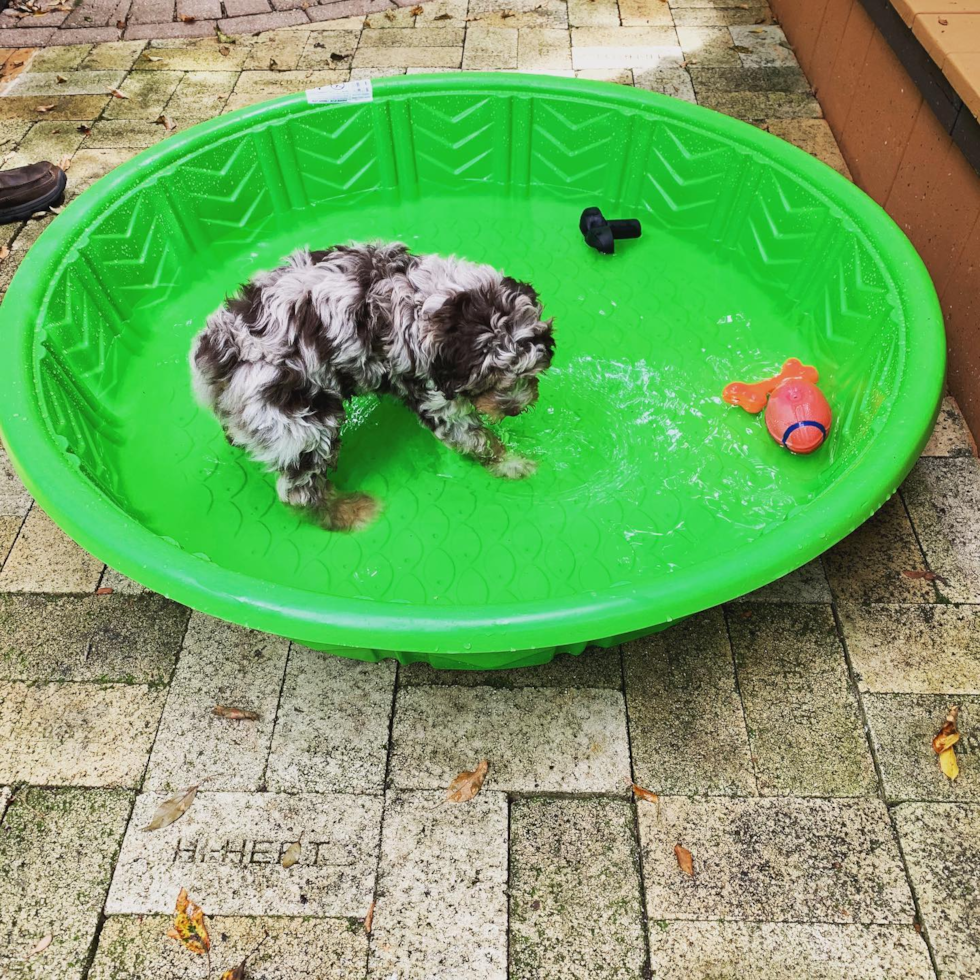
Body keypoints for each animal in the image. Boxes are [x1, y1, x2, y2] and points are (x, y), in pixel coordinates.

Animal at [190, 249, 556, 532]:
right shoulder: (434, 393)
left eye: (532, 373)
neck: (430, 302)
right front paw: (512, 464)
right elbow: (475, 438)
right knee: (298, 489)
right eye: (490, 382)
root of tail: (219, 354)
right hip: (299, 421)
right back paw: (346, 512)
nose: (515, 407)